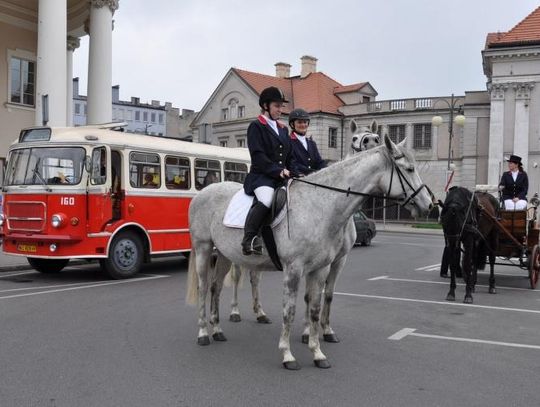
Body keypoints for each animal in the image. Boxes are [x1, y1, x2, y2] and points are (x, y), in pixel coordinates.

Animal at [188, 136, 432, 370]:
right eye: (409, 169)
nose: (429, 205)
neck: (319, 206)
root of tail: (202, 193)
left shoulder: (321, 268)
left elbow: (315, 306)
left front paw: (317, 352)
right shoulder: (293, 269)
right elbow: (290, 310)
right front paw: (287, 355)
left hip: (224, 255)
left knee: (216, 288)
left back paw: (217, 330)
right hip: (204, 248)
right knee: (204, 287)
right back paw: (203, 333)